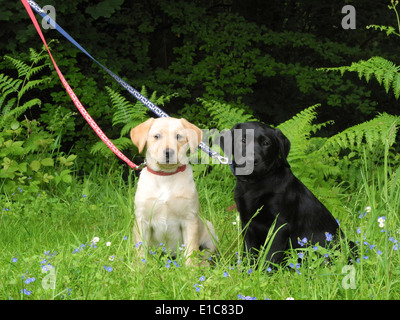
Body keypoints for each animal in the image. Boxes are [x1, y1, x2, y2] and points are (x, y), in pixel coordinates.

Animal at [130, 116, 219, 264]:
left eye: (178, 136)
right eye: (156, 136)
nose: (168, 152)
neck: (166, 176)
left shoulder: (190, 219)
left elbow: (191, 250)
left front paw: (191, 269)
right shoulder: (142, 220)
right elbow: (140, 250)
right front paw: (139, 268)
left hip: (209, 230)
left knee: (206, 254)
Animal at [220, 122, 354, 264]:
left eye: (266, 143)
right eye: (243, 140)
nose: (252, 160)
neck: (255, 183)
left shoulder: (280, 225)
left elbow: (271, 255)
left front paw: (264, 270)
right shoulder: (247, 223)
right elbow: (250, 252)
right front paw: (249, 269)